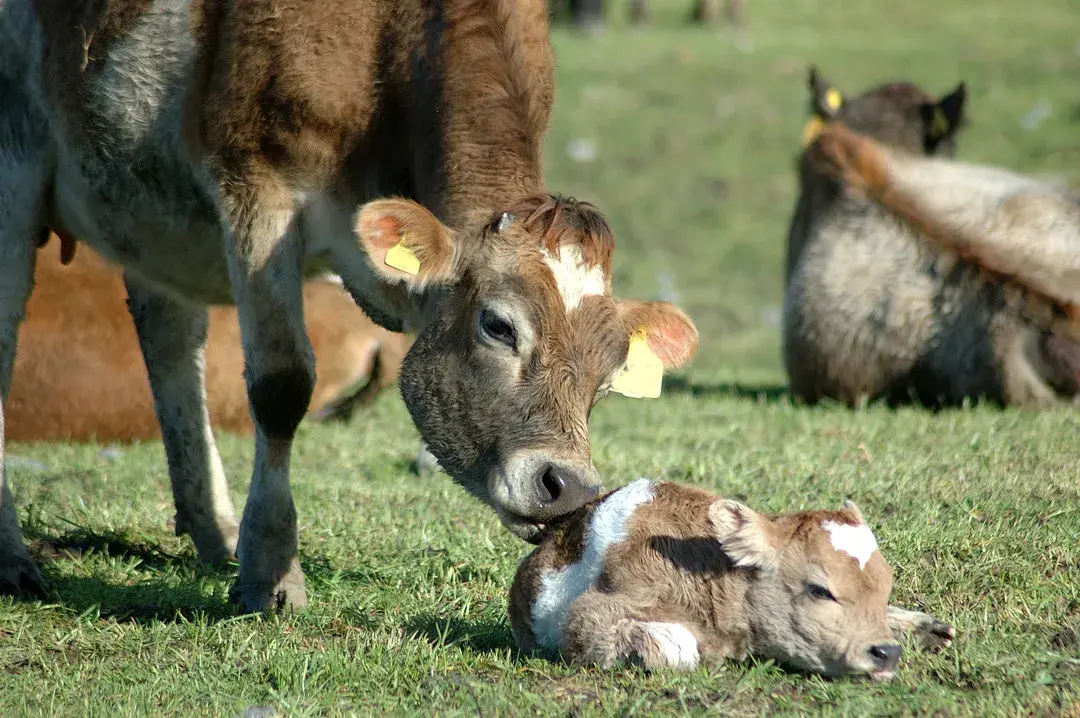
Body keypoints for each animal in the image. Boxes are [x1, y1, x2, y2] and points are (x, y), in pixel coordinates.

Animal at [0, 0, 699, 608]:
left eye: (609, 374)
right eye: (498, 326)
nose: (569, 489)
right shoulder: (258, 185)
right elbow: (280, 386)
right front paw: (271, 573)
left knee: (169, 336)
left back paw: (214, 528)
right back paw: (15, 558)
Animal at [509, 479, 950, 673]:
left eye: (885, 587)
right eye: (820, 591)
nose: (885, 653)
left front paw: (920, 626)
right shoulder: (589, 616)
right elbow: (675, 647)